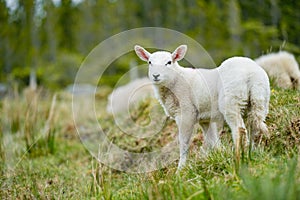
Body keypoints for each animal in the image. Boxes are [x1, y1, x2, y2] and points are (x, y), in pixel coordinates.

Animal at [135, 44, 270, 170]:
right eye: (150, 62)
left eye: (169, 62)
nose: (156, 75)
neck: (176, 80)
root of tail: (251, 74)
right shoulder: (205, 118)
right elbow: (212, 140)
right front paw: (219, 154)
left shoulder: (186, 113)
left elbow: (184, 142)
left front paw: (180, 169)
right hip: (260, 100)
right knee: (255, 125)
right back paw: (251, 152)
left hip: (231, 101)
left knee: (239, 129)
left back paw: (239, 157)